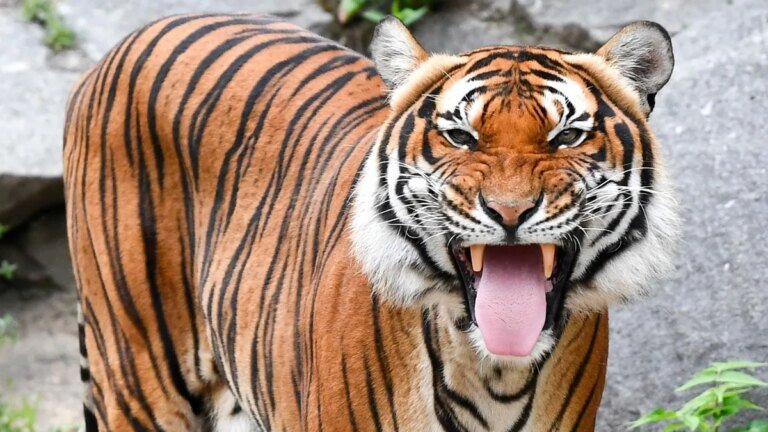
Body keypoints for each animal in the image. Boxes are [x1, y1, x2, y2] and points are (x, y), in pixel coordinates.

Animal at [63, 13, 679, 432]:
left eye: (567, 136)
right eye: (460, 136)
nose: (509, 211)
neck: (496, 374)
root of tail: (125, 44)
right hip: (138, 375)